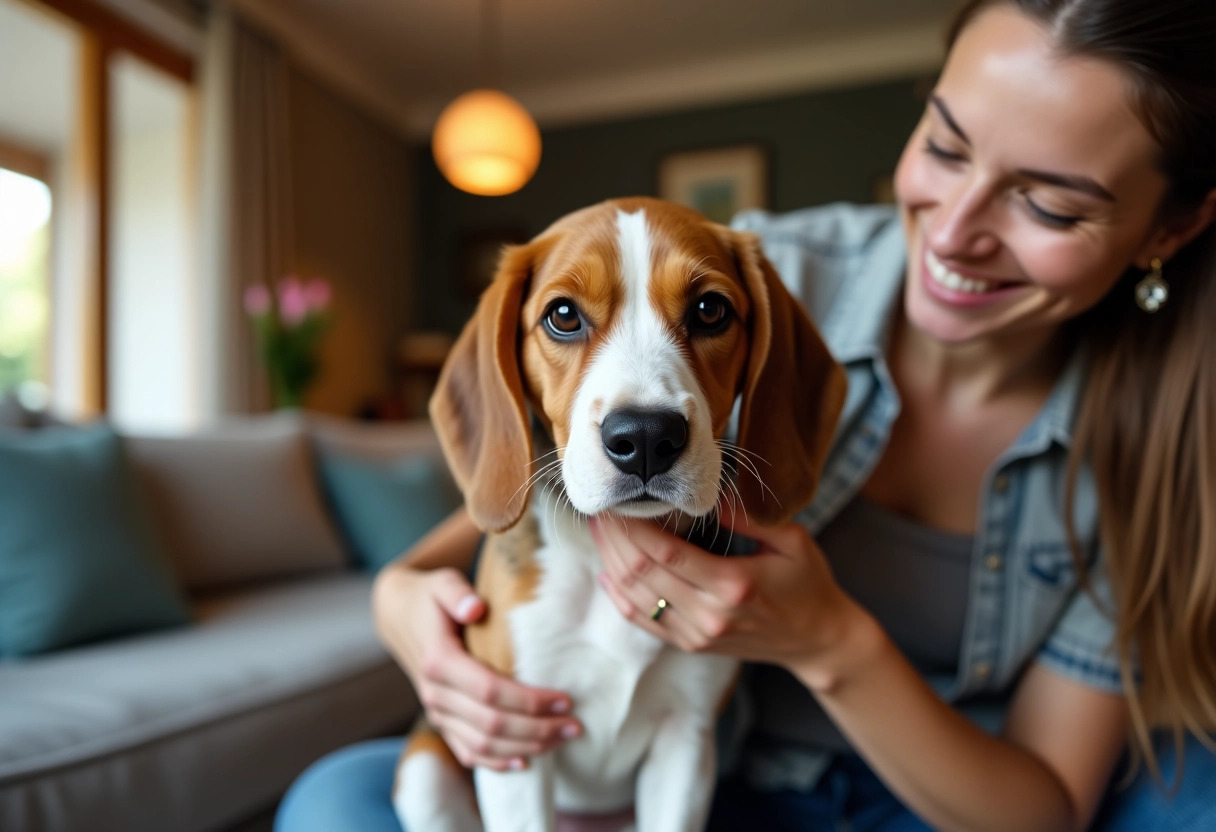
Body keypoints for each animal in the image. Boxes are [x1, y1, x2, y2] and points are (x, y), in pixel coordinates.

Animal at [391, 197, 846, 832]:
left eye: (710, 310)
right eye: (562, 315)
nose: (647, 437)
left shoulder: (686, 740)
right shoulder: (516, 745)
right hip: (424, 771)